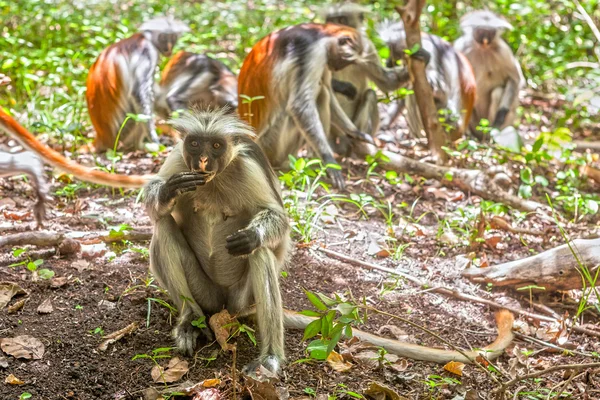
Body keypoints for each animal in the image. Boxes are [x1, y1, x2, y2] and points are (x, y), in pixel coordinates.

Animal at [85, 16, 189, 152]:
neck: (144, 38)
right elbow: (138, 93)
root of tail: (103, 138)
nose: (168, 48)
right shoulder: (147, 51)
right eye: (163, 38)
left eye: (172, 38)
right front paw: (155, 140)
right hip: (124, 131)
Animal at [142, 108, 290, 376]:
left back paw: (270, 357)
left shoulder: (249, 167)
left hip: (240, 301)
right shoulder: (179, 159)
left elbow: (279, 219)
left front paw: (253, 236)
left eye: (216, 146)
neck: (214, 180)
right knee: (164, 226)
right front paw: (168, 192)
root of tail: (223, 307)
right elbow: (154, 205)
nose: (202, 160)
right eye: (194, 144)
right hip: (204, 294)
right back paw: (190, 320)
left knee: (259, 252)